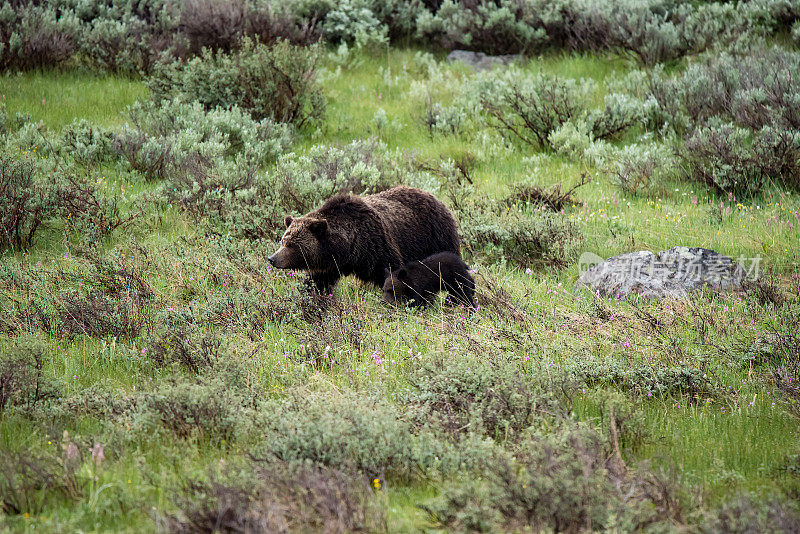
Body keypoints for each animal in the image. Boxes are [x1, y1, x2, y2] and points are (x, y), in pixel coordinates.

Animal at [268, 185, 460, 294]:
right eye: (283, 241)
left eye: (292, 245)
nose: (272, 259)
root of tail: (435, 197)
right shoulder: (329, 266)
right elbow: (316, 284)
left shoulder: (378, 247)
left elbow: (392, 273)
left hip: (436, 236)